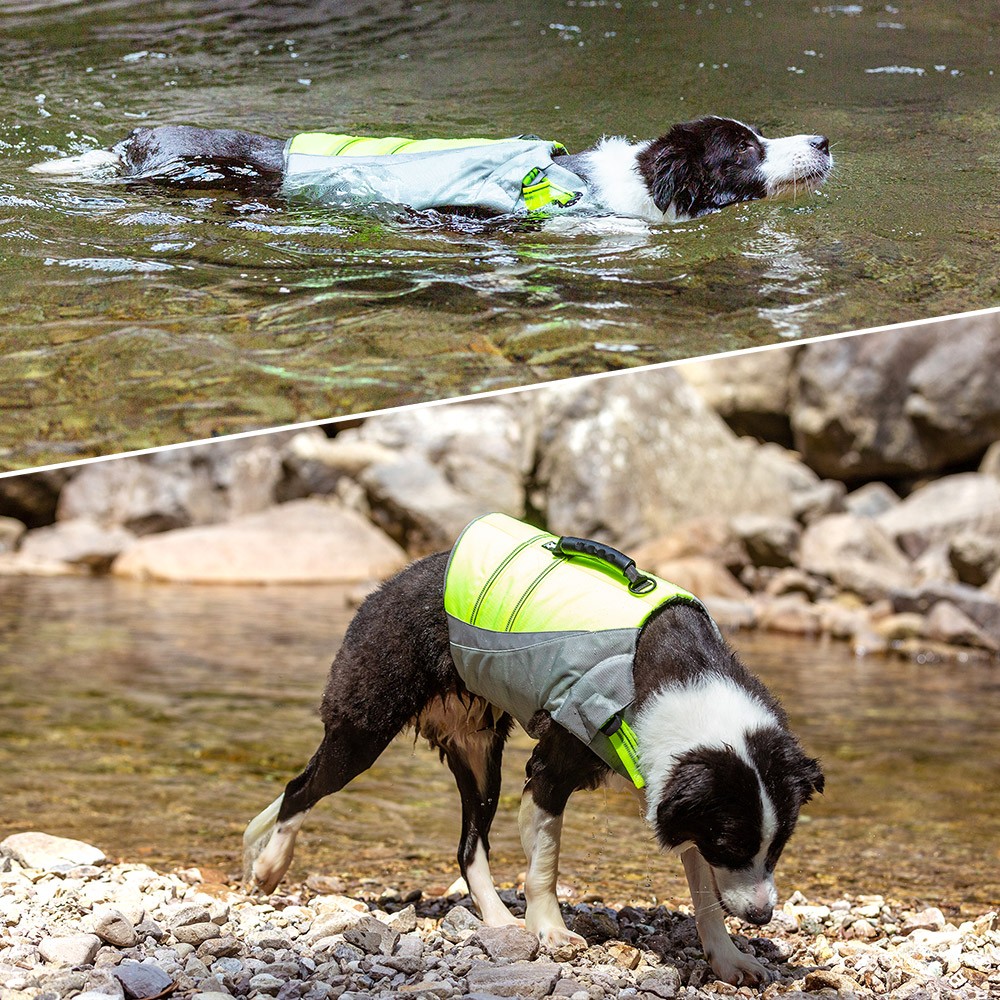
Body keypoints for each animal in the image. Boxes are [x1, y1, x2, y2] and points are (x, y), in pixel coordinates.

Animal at [240, 520, 820, 988]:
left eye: (778, 847)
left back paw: (498, 921)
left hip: (479, 756)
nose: (763, 917)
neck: (675, 676)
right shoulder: (550, 772)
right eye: (733, 843)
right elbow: (546, 865)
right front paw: (552, 931)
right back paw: (270, 865)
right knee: (299, 789)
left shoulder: (675, 796)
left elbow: (705, 894)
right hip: (364, 724)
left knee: (468, 845)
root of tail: (390, 583)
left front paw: (728, 959)